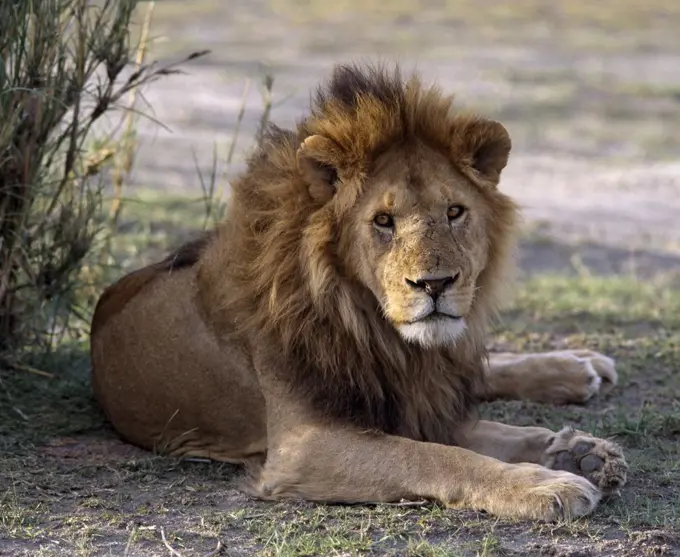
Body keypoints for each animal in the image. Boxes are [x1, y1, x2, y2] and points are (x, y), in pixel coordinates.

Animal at [90, 63, 628, 520]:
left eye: (454, 212)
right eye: (383, 221)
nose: (435, 284)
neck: (377, 332)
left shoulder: (419, 397)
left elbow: (488, 434)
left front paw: (578, 453)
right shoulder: (303, 446)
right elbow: (437, 457)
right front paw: (549, 481)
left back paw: (578, 370)